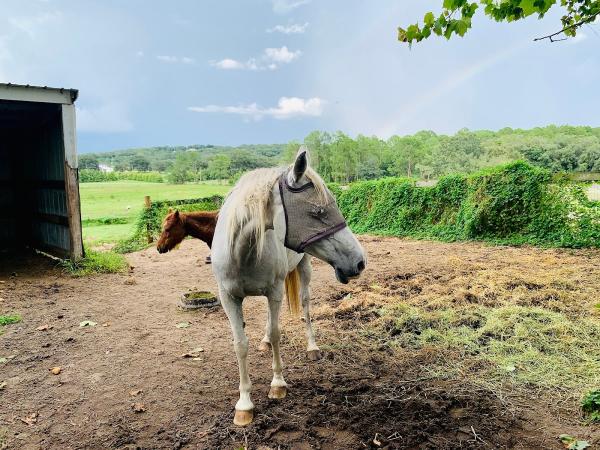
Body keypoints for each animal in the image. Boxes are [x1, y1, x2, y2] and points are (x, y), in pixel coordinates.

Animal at [216, 147, 366, 426]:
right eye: (318, 212)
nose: (360, 262)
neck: (242, 252)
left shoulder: (274, 291)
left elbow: (277, 334)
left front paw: (278, 384)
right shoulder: (228, 298)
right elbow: (240, 344)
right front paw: (244, 404)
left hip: (303, 270)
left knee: (305, 306)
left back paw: (312, 347)